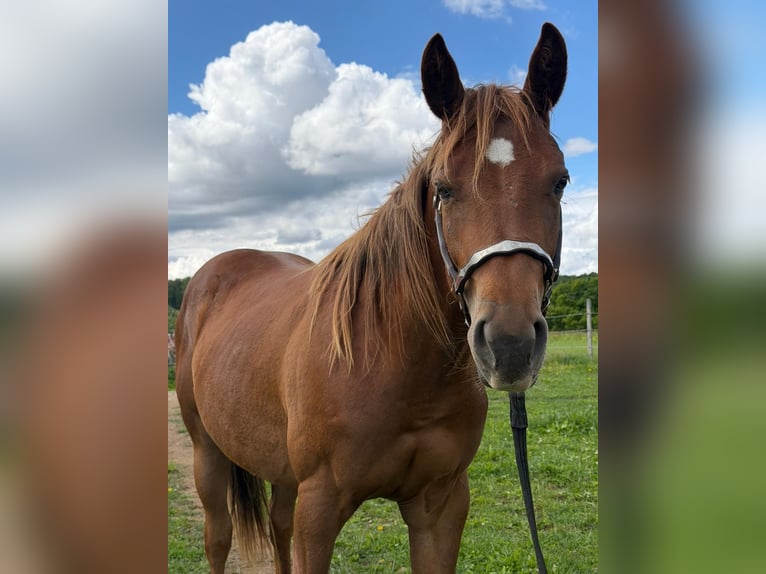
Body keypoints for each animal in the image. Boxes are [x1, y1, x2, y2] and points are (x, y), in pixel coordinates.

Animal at [175, 23, 568, 574]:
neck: (393, 361)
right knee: (218, 536)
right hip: (207, 452)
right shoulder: (319, 511)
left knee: (276, 525)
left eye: (559, 182)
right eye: (444, 189)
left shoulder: (441, 506)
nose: (509, 345)